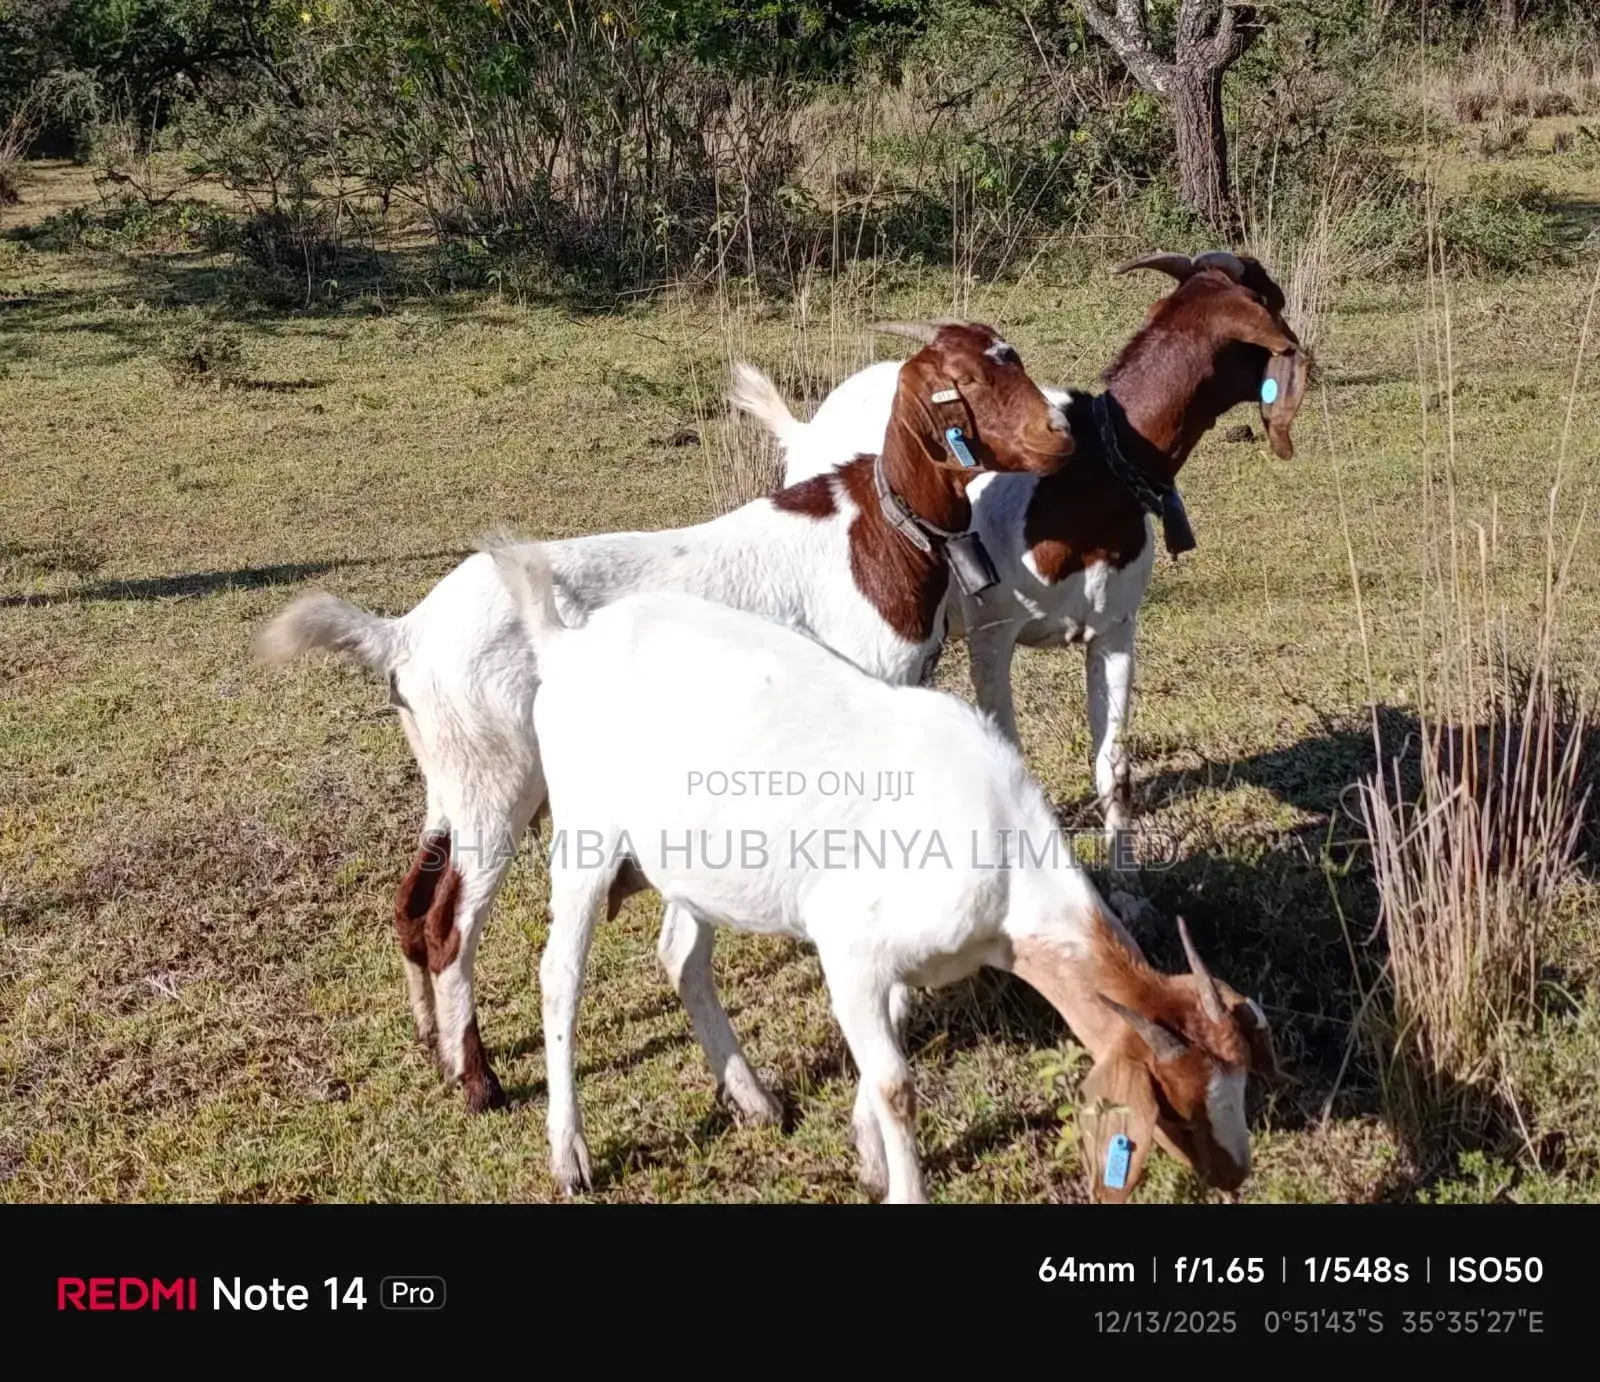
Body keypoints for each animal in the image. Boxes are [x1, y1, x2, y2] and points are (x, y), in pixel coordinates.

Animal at [256, 323, 1072, 1115]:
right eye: (965, 383)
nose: (1060, 432)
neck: (873, 533)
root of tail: (404, 635)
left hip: (451, 776)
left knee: (412, 902)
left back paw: (435, 1043)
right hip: (499, 783)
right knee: (449, 926)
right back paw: (480, 1083)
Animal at [491, 543, 1277, 1203]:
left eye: (1240, 1080)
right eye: (1178, 1104)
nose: (1234, 1172)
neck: (1005, 868)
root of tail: (567, 641)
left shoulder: (900, 962)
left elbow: (881, 1058)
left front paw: (868, 1156)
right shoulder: (849, 946)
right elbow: (897, 1084)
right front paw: (901, 1186)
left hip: (698, 863)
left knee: (682, 955)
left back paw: (754, 1099)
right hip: (586, 834)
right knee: (560, 976)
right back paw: (571, 1154)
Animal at [731, 250, 1311, 845]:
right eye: (1270, 298)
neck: (1090, 480)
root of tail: (805, 430)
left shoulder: (1116, 629)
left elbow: (1114, 768)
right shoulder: (992, 634)